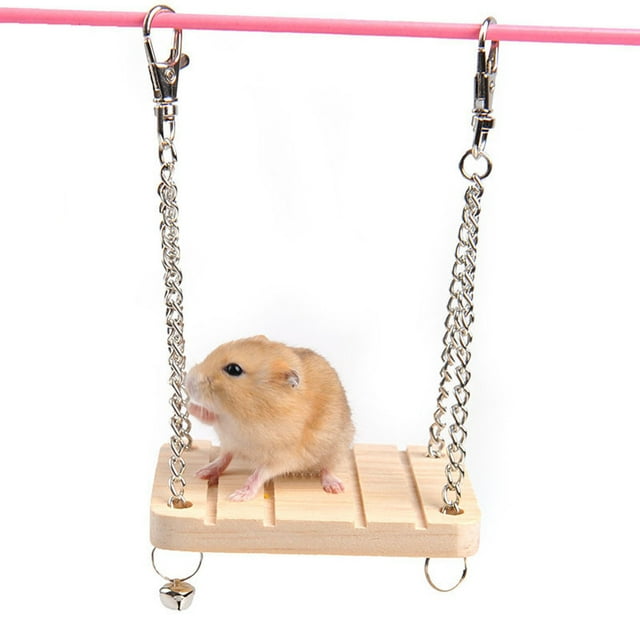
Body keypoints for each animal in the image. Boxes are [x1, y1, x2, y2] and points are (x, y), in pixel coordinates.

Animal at [185, 335, 355, 501]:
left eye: (233, 369)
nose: (187, 381)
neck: (243, 415)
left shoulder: (283, 456)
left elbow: (259, 474)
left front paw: (237, 496)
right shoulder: (226, 427)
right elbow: (211, 418)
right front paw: (188, 405)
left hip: (336, 449)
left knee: (328, 468)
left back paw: (335, 488)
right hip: (230, 443)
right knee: (224, 457)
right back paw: (202, 472)